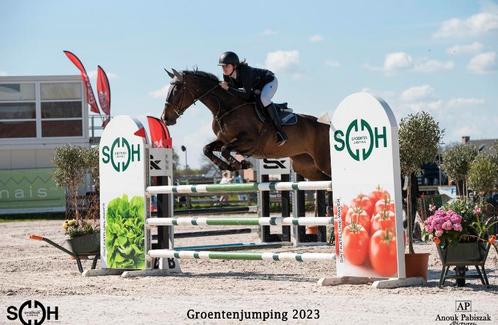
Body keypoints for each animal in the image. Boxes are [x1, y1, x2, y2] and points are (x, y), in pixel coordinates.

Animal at [160, 68, 330, 181]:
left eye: (176, 89)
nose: (165, 118)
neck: (226, 108)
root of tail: (327, 126)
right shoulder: (225, 140)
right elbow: (207, 149)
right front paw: (228, 166)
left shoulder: (249, 142)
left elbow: (225, 149)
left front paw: (241, 164)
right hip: (305, 166)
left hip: (324, 161)